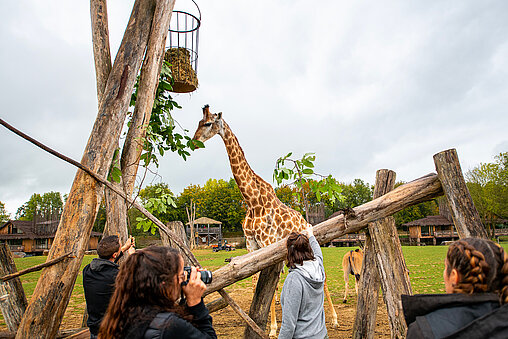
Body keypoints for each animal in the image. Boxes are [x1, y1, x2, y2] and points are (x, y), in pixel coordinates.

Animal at [193, 105, 338, 336]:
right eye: (198, 122)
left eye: (208, 123)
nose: (194, 141)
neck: (252, 201)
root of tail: (305, 221)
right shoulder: (251, 244)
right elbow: (256, 283)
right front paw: (254, 322)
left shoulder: (267, 243)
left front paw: (271, 329)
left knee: (321, 277)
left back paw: (333, 319)